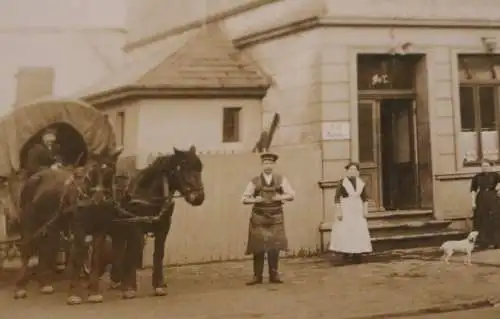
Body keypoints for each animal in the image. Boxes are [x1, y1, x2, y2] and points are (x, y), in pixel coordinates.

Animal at [12, 148, 123, 304]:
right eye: (92, 172)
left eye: (110, 170)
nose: (98, 199)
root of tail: (34, 177)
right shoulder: (79, 229)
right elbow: (77, 257)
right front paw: (74, 293)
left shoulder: (100, 230)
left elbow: (96, 258)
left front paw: (94, 292)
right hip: (30, 222)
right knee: (27, 249)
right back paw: (20, 287)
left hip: (51, 226)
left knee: (46, 248)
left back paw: (44, 284)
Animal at [108, 146, 204, 300]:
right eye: (182, 167)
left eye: (200, 168)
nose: (199, 197)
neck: (149, 193)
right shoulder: (136, 226)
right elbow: (133, 253)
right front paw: (130, 287)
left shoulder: (163, 227)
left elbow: (159, 254)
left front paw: (159, 285)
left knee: (118, 246)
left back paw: (117, 278)